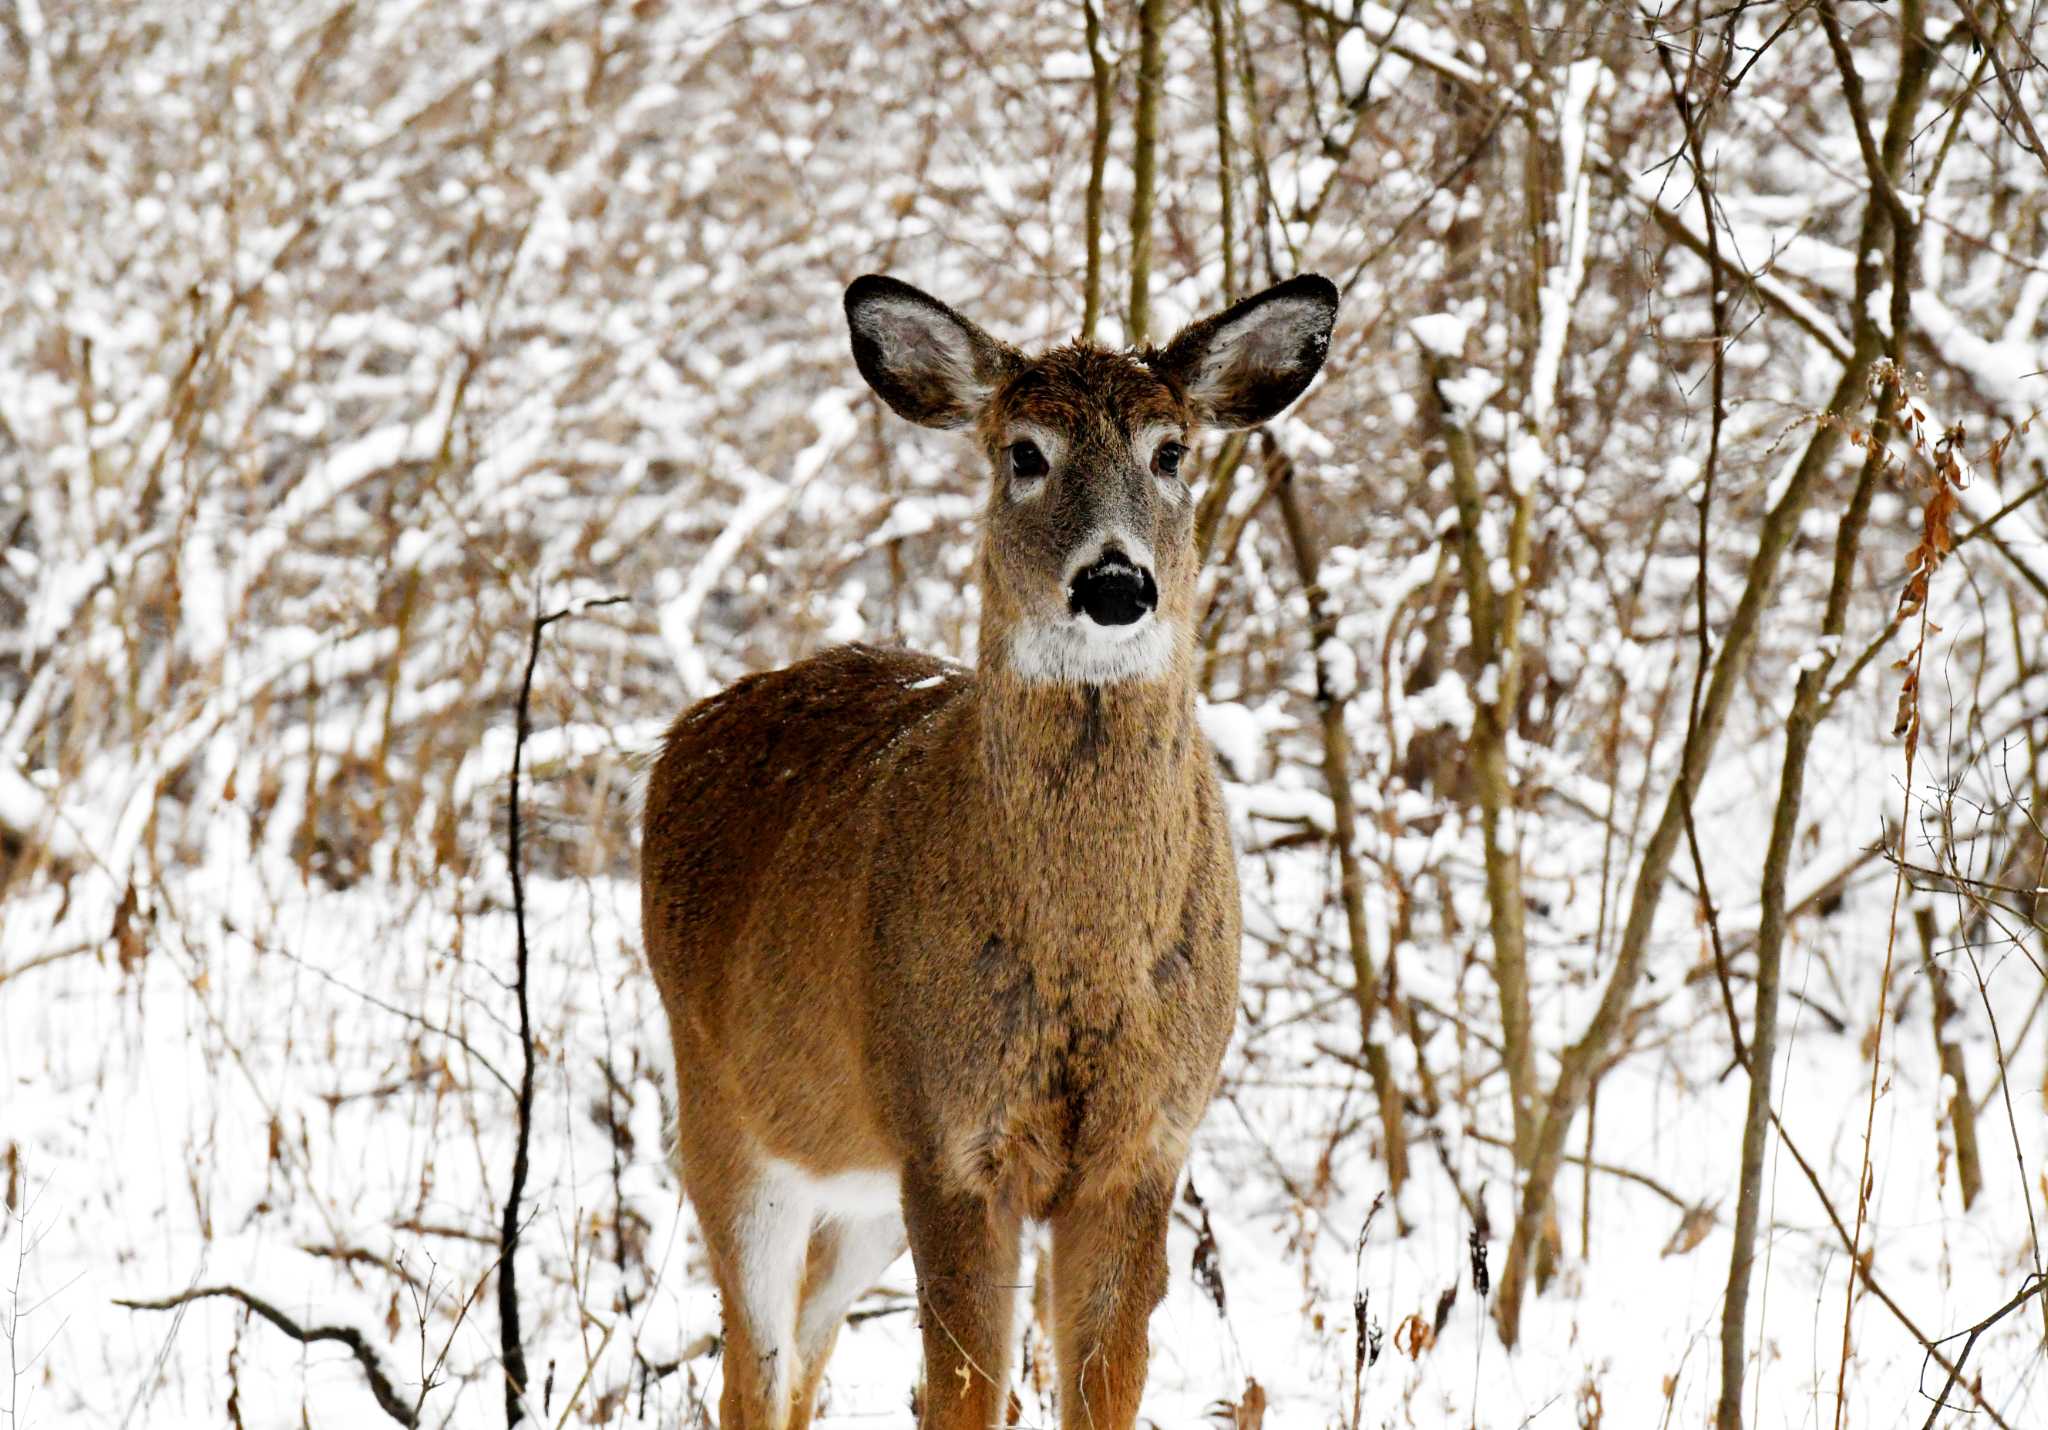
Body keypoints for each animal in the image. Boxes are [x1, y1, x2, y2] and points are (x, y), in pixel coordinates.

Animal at [643, 270, 1343, 1425]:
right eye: (1023, 451)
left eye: (1170, 451)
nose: (1115, 583)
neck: (1086, 963)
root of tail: (682, 735)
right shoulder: (950, 1141)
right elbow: (966, 1389)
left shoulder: (1143, 1148)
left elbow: (1098, 1389)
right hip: (726, 1116)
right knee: (752, 1367)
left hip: (860, 1182)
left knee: (807, 1349)